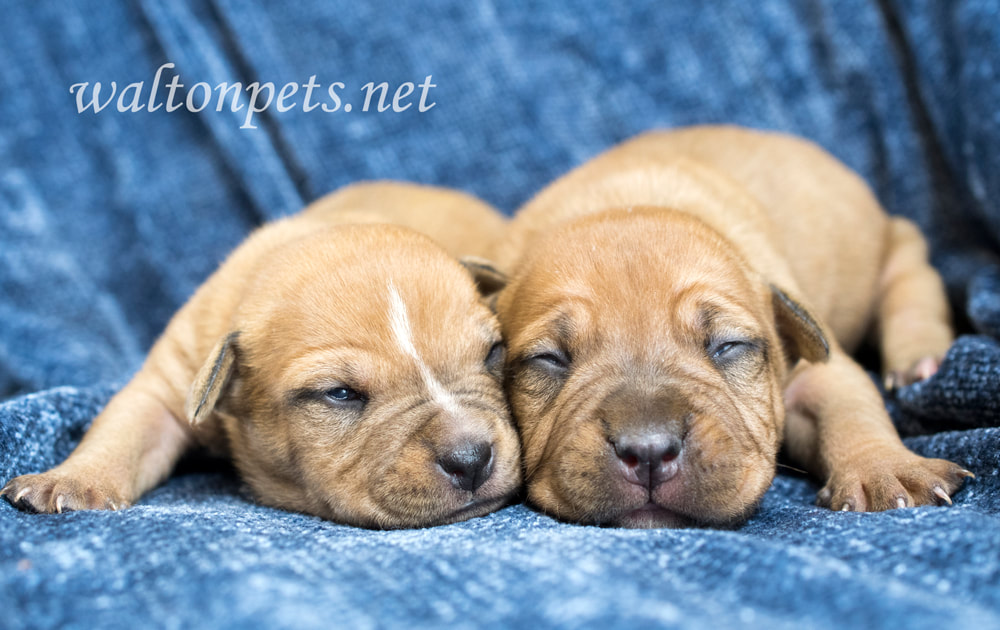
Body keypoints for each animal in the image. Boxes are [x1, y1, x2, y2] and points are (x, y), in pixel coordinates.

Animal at [3, 181, 524, 528]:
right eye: (340, 394)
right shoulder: (167, 385)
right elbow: (121, 432)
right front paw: (69, 480)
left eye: (492, 352)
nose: (471, 458)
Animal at [496, 127, 972, 528]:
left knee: (911, 287)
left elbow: (852, 410)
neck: (630, 201)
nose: (648, 451)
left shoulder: (817, 368)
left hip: (898, 246)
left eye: (728, 345)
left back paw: (919, 358)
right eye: (549, 359)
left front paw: (886, 468)